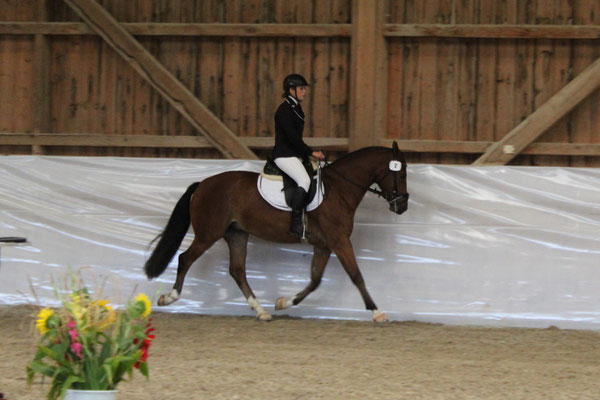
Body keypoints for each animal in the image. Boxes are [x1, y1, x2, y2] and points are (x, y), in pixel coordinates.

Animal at [143, 143, 410, 322]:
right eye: (401, 173)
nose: (402, 206)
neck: (339, 189)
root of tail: (202, 184)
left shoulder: (324, 244)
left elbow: (315, 280)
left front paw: (284, 302)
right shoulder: (339, 240)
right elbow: (356, 276)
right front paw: (377, 312)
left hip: (236, 234)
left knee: (237, 270)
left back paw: (262, 311)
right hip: (208, 234)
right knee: (185, 259)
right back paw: (169, 298)